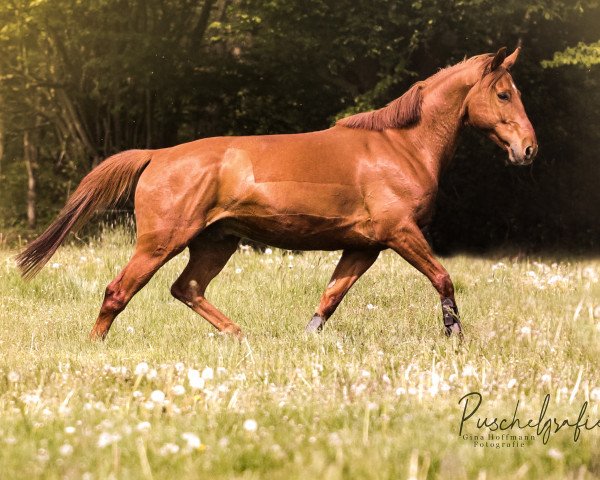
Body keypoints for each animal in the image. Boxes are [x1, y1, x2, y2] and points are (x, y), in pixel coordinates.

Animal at [16, 45, 536, 338]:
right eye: (504, 94)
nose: (528, 149)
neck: (400, 146)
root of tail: (157, 155)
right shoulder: (400, 233)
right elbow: (444, 278)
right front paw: (454, 334)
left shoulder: (363, 247)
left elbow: (330, 298)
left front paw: (307, 341)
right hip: (161, 242)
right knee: (118, 291)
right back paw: (95, 347)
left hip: (215, 242)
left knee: (186, 288)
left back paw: (239, 335)